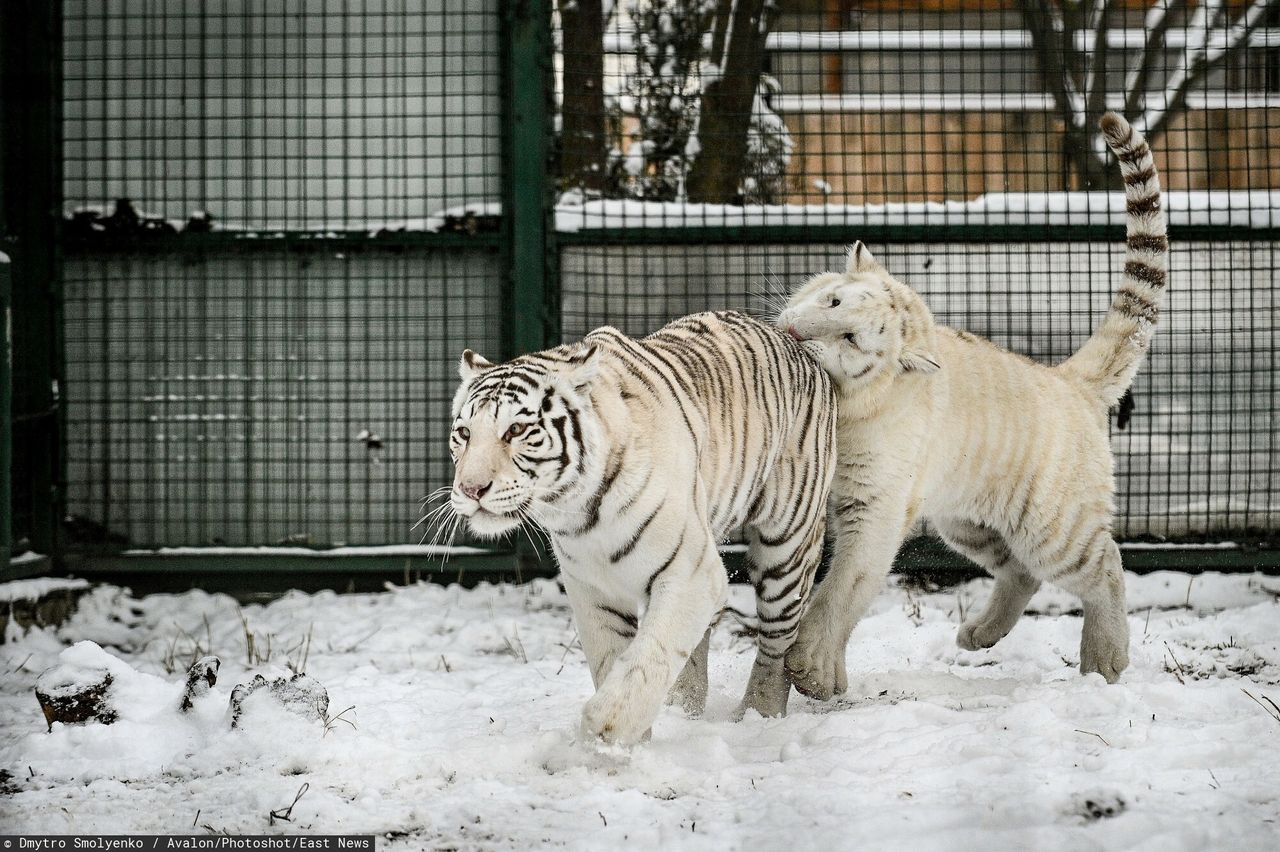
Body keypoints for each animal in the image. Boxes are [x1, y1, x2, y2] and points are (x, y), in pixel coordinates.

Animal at [450, 308, 839, 741]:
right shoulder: (592, 589)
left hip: (786, 545)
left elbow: (647, 658)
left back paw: (760, 712)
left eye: (516, 430)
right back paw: (684, 708)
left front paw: (605, 731)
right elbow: (612, 660)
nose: (470, 488)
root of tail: (793, 341)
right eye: (463, 433)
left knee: (776, 638)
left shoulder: (691, 573)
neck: (580, 510)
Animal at [773, 114, 1167, 695]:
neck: (846, 410)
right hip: (966, 520)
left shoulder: (875, 506)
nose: (795, 334)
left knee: (1106, 565)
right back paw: (978, 634)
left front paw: (811, 670)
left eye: (851, 339)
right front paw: (826, 675)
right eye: (834, 300)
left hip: (1052, 526)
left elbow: (844, 587)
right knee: (1021, 572)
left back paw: (1105, 660)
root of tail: (1070, 380)